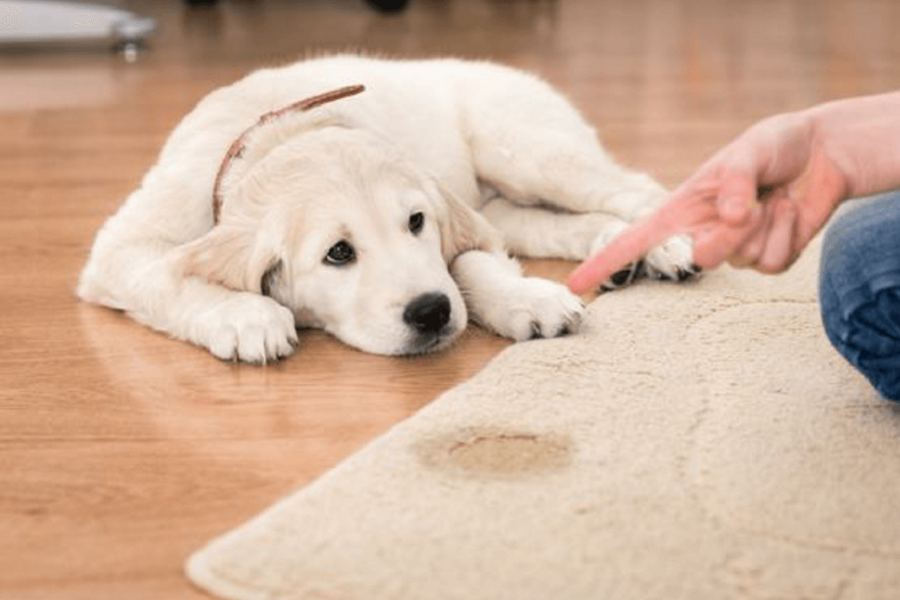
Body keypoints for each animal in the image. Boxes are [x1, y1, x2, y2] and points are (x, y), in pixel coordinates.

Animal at [79, 55, 696, 360]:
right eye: (338, 253)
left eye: (416, 222)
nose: (431, 313)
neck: (279, 134)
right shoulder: (121, 249)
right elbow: (168, 276)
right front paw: (245, 316)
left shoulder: (456, 220)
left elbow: (470, 263)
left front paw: (525, 299)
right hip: (505, 197)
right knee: (550, 222)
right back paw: (616, 251)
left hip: (525, 148)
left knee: (635, 187)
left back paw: (666, 245)